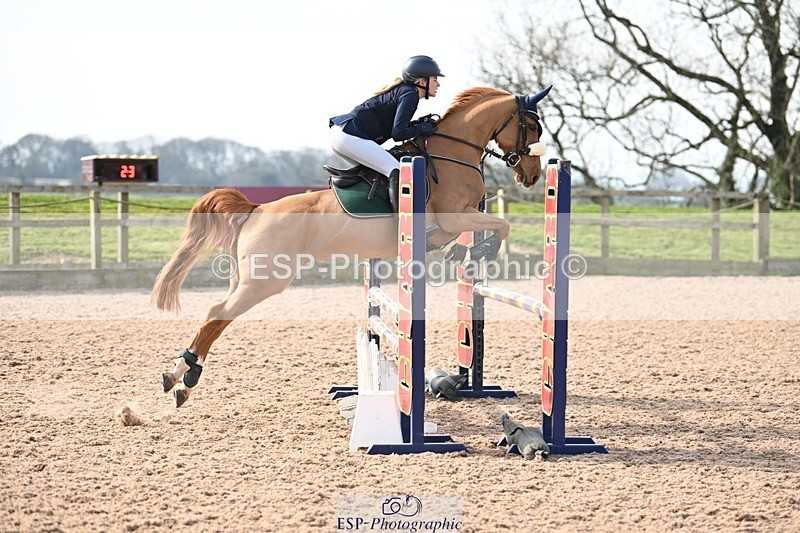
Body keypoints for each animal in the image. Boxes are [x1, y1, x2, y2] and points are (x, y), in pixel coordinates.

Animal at [153, 85, 552, 407]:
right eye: (532, 127)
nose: (532, 176)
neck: (452, 154)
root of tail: (256, 209)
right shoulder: (455, 218)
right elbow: (502, 225)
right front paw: (480, 252)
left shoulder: (460, 220)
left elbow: (483, 231)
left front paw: (463, 253)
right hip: (265, 280)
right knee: (217, 314)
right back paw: (183, 376)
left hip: (247, 278)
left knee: (217, 313)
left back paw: (181, 379)